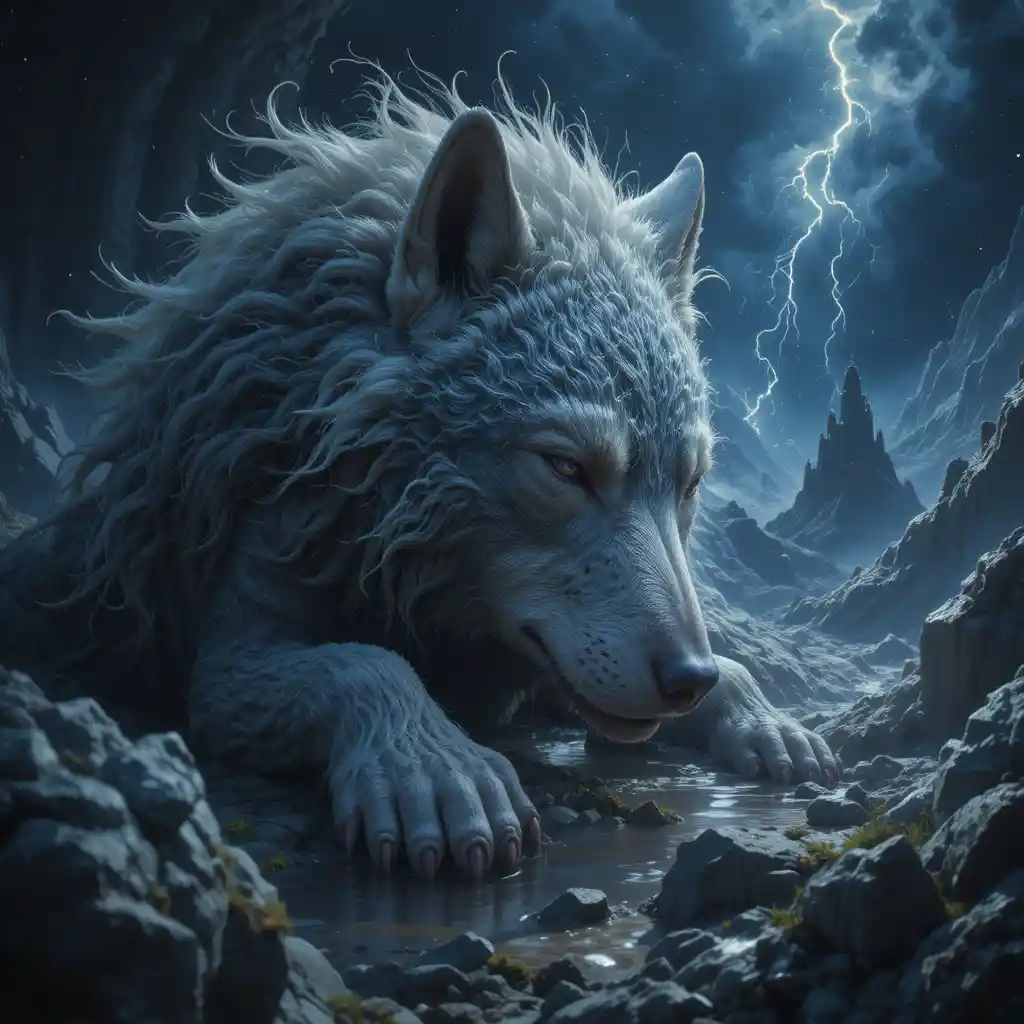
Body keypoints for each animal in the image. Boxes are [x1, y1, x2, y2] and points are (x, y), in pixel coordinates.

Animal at [0, 67, 839, 879]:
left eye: (689, 486)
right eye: (567, 468)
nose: (687, 677)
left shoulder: (533, 660)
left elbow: (728, 670)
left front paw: (760, 715)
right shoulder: (232, 664)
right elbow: (367, 666)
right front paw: (437, 771)